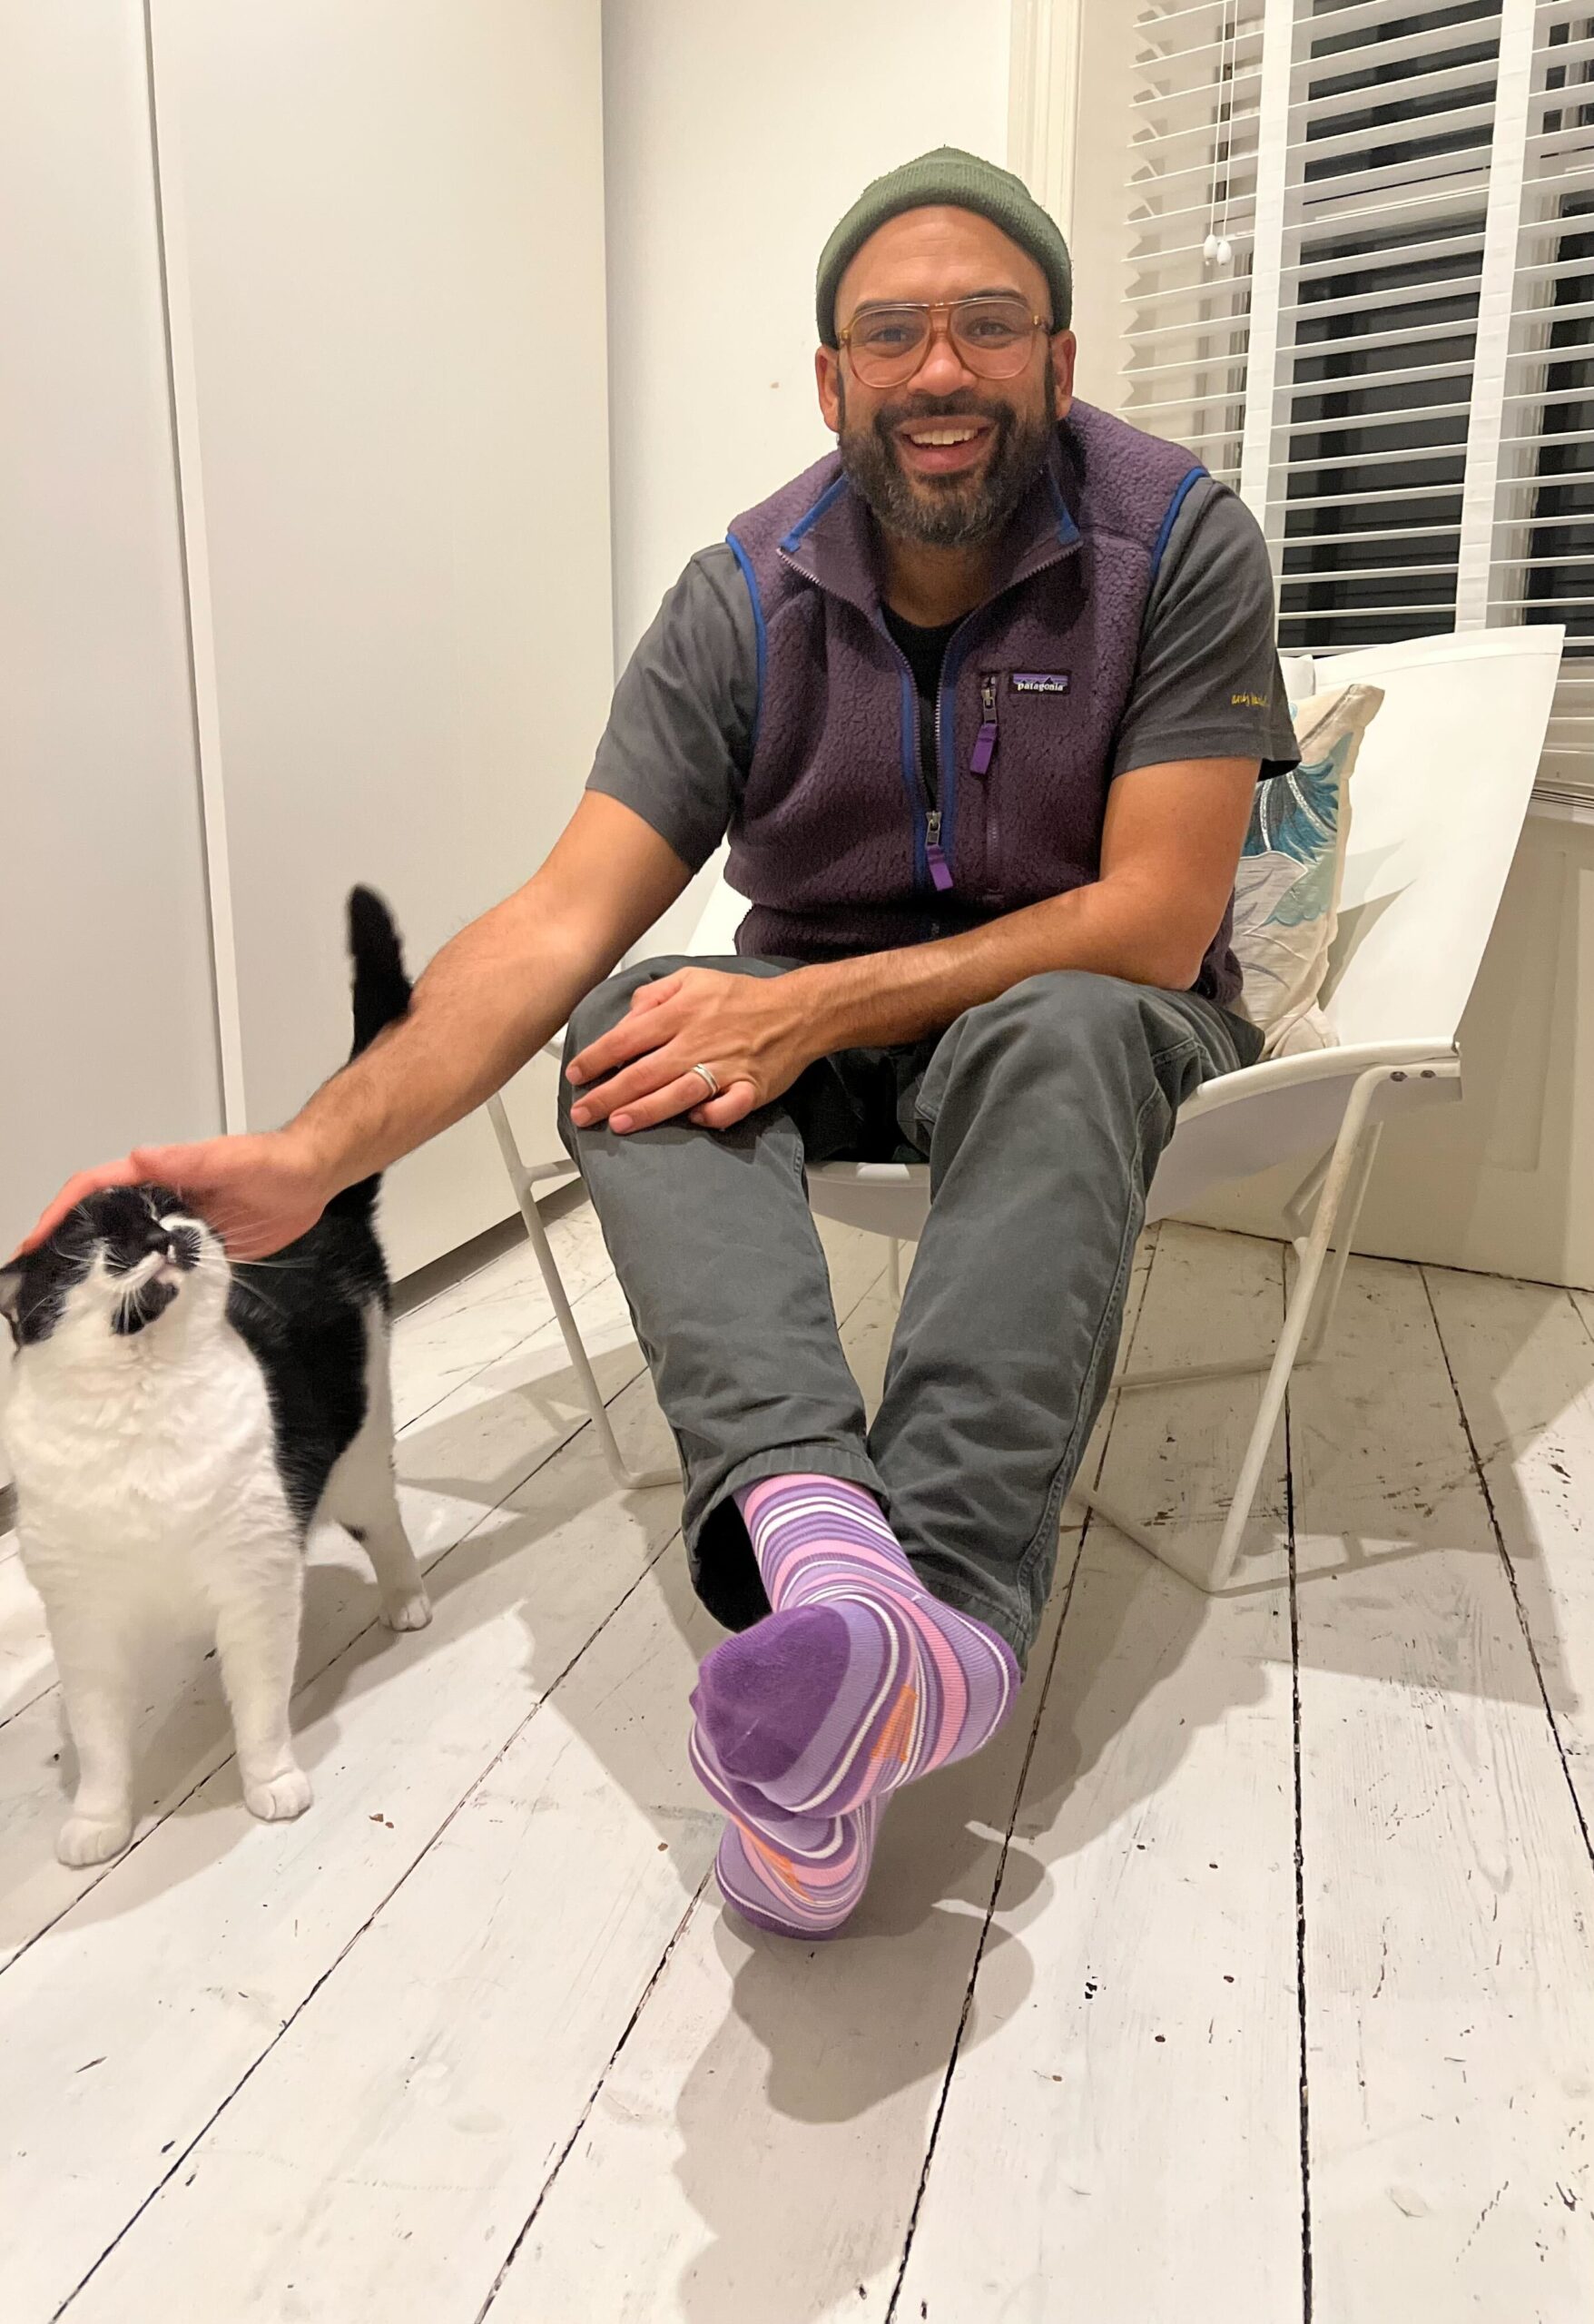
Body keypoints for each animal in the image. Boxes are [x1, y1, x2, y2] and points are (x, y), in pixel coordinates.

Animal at [0, 887, 429, 1868]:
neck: (143, 1410)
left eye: (170, 1208)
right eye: (104, 1239)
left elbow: (261, 1704)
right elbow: (101, 1743)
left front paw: (270, 1783)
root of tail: (324, 1216)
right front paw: (96, 1825)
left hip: (357, 1457)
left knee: (385, 1529)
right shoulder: (84, 1625)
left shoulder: (255, 1583)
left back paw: (407, 1603)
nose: (167, 1234)